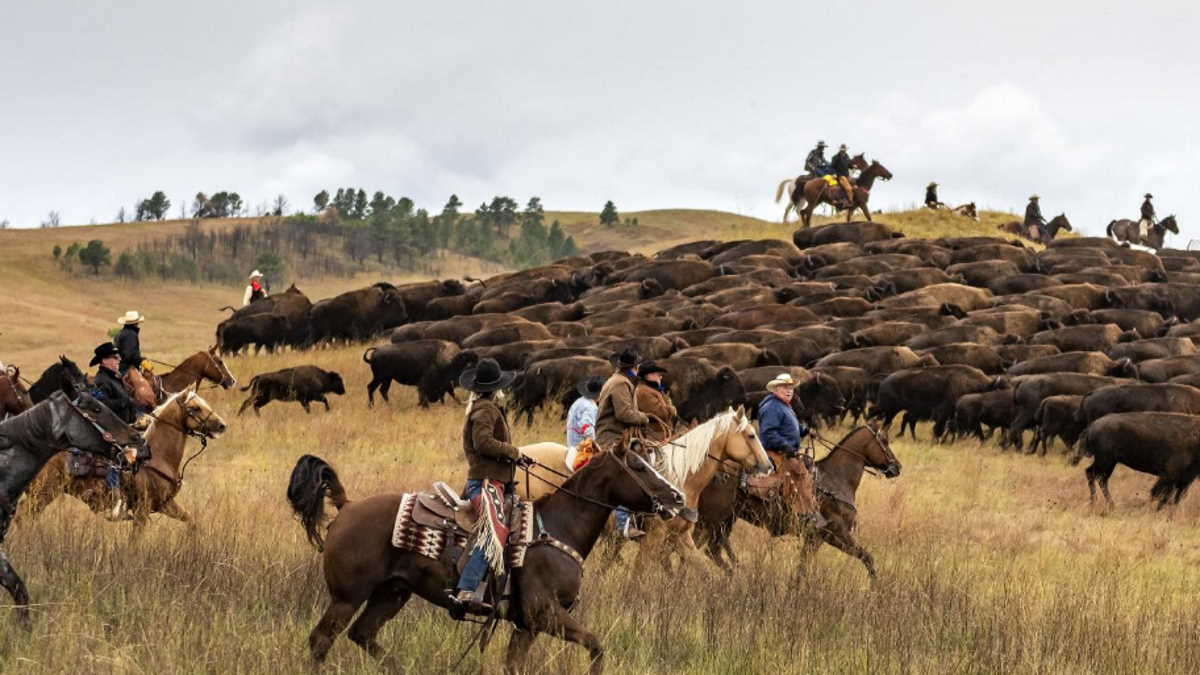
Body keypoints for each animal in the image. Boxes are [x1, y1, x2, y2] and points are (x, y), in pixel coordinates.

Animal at [22, 386, 225, 533]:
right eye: (195, 408)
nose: (222, 425)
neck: (156, 457)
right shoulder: (142, 511)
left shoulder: (165, 504)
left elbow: (192, 521)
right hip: (42, 494)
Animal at [286, 444, 691, 667]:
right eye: (638, 466)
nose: (678, 498)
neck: (556, 528)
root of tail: (347, 506)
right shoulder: (545, 614)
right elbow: (596, 647)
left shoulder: (526, 626)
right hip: (347, 597)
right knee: (321, 641)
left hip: (391, 593)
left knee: (363, 635)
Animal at [691, 425, 897, 578]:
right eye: (884, 441)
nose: (897, 467)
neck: (835, 480)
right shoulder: (836, 533)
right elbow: (867, 558)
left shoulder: (815, 538)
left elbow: (801, 569)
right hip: (711, 520)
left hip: (725, 520)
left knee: (713, 550)